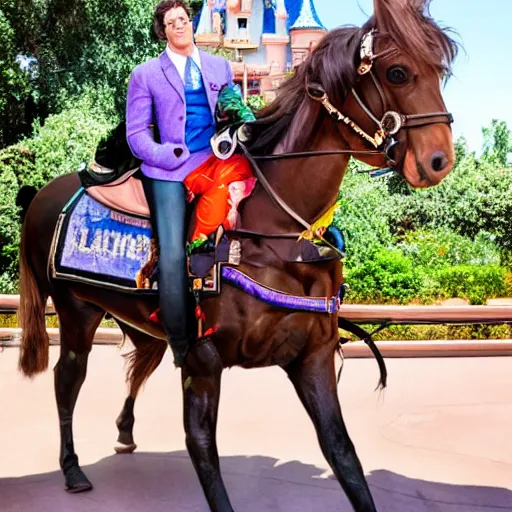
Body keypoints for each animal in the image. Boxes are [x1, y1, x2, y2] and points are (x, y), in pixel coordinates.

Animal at [17, 2, 456, 510]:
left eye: (440, 71)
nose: (440, 159)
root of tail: (41, 194)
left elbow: (343, 454)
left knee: (138, 360)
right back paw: (72, 468)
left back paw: (123, 432)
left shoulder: (314, 357)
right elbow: (204, 451)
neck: (278, 233)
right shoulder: (202, 361)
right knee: (66, 380)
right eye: (398, 72)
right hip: (76, 311)